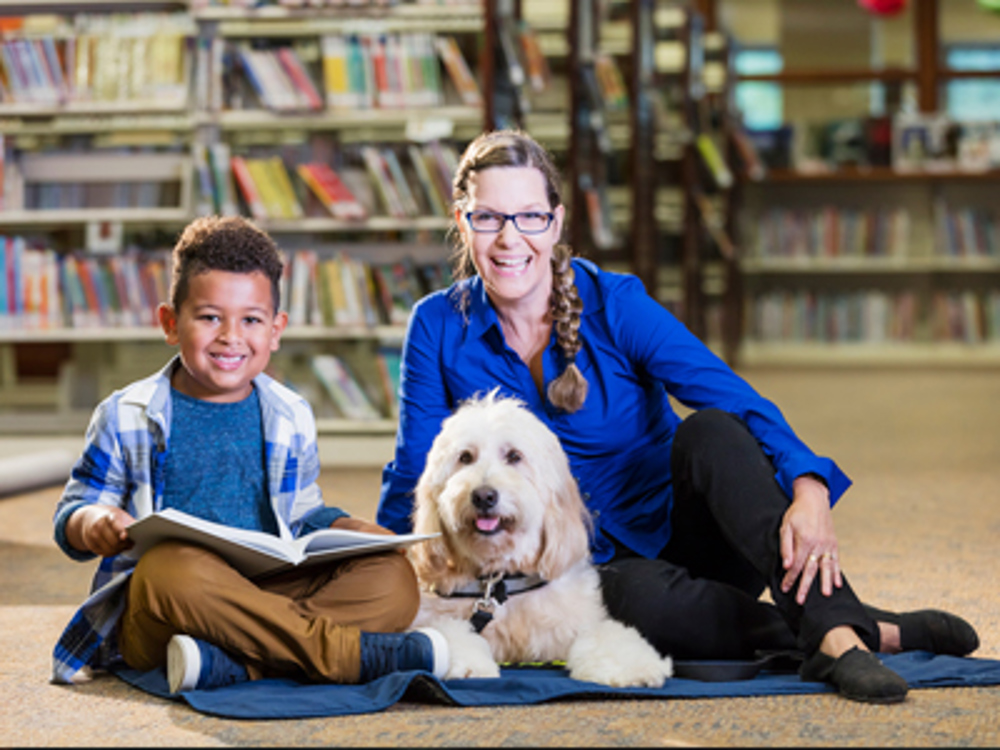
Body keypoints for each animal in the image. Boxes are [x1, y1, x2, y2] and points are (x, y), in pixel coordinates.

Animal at [406, 390, 672, 692]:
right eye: (465, 457)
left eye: (514, 456)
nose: (484, 496)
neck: (500, 580)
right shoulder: (425, 614)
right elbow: (442, 631)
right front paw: (470, 665)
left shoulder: (571, 624)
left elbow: (602, 635)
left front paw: (633, 666)